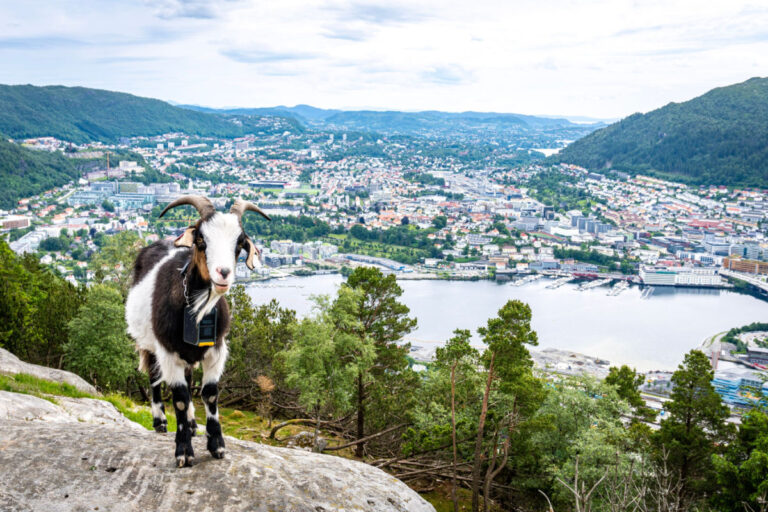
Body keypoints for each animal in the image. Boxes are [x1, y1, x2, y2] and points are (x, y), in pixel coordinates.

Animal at [126, 196, 270, 468]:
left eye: (240, 243)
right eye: (201, 239)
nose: (223, 273)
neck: (198, 307)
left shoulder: (217, 349)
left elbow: (210, 394)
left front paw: (217, 445)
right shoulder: (168, 350)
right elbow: (181, 397)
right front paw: (183, 451)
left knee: (190, 378)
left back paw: (193, 424)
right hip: (149, 344)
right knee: (154, 377)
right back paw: (160, 421)